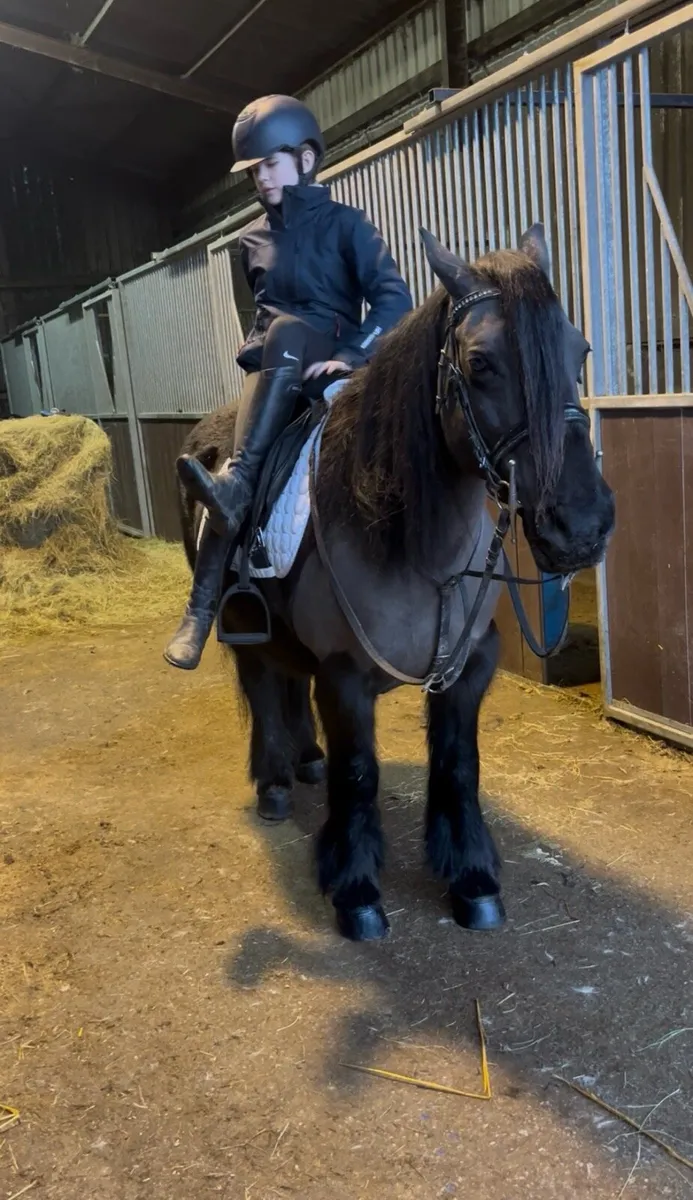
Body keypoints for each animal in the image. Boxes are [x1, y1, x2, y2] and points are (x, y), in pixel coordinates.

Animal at [176, 223, 615, 942]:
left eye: (577, 349)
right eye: (479, 364)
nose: (580, 524)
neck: (410, 544)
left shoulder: (468, 669)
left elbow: (457, 767)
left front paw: (471, 879)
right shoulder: (344, 677)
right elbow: (358, 775)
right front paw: (355, 891)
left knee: (285, 684)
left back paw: (304, 760)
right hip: (240, 624)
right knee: (261, 685)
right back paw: (273, 782)